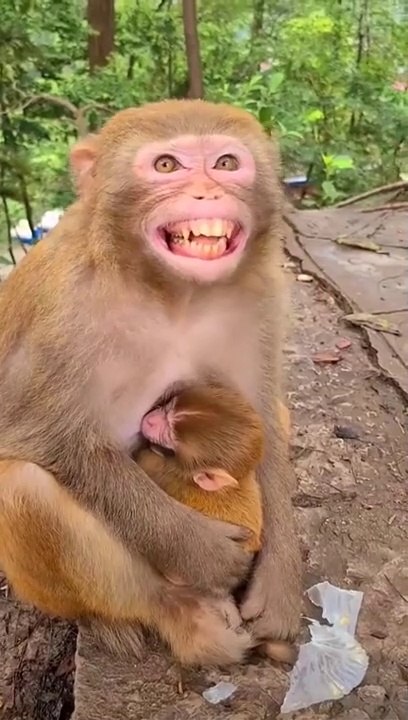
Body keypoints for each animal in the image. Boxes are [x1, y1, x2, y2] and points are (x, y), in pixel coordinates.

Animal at [0, 99, 301, 666]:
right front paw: (202, 553)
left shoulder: (261, 297)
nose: (207, 192)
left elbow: (265, 420)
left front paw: (279, 584)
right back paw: (168, 613)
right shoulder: (63, 310)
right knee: (22, 486)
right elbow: (43, 438)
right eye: (167, 166)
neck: (172, 295)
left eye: (226, 164)